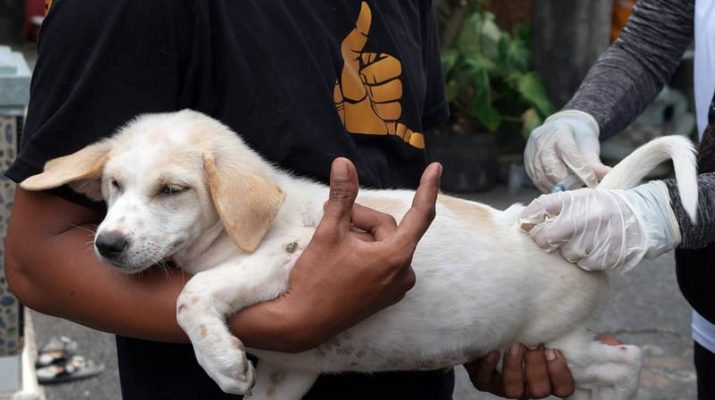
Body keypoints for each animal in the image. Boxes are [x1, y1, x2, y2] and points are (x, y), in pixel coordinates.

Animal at [18, 109, 700, 400]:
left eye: (171, 190)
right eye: (113, 186)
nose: (107, 245)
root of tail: (528, 223)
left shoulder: (287, 258)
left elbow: (192, 295)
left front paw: (221, 363)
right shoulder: (290, 373)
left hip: (554, 341)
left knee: (630, 360)